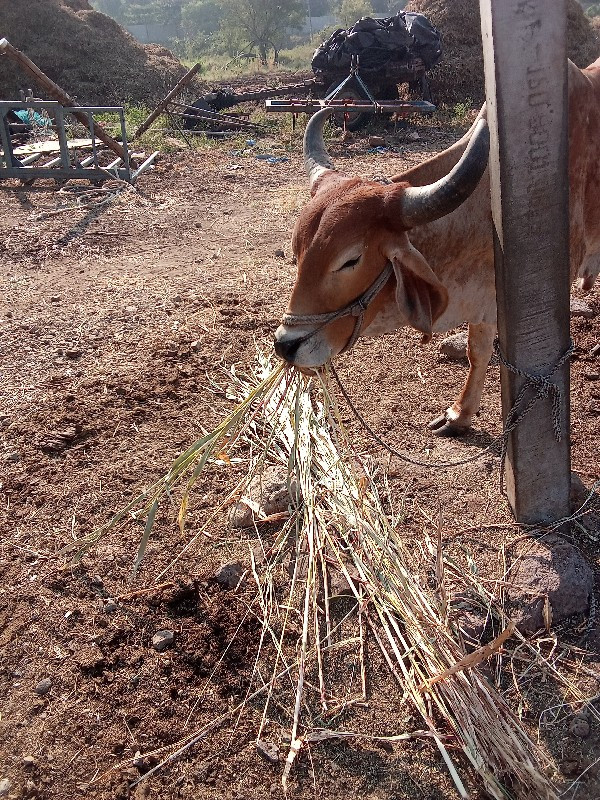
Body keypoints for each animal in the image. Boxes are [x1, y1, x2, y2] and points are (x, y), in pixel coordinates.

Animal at [274, 57, 596, 438]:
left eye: (350, 260)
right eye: (297, 252)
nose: (286, 345)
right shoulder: (487, 299)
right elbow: (478, 350)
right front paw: (459, 416)